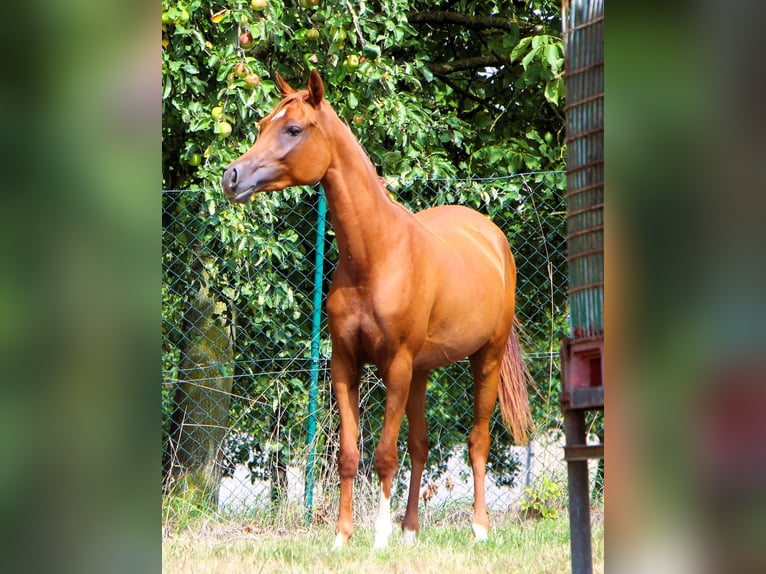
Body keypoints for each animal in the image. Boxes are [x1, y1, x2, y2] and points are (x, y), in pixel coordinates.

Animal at [221, 70, 532, 550]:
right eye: (261, 125)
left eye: (293, 129)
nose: (231, 177)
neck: (376, 255)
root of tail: (491, 237)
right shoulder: (345, 365)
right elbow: (350, 454)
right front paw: (343, 536)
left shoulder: (397, 366)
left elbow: (385, 454)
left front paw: (379, 536)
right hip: (423, 371)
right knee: (421, 446)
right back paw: (410, 531)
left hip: (487, 357)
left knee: (477, 440)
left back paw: (478, 527)